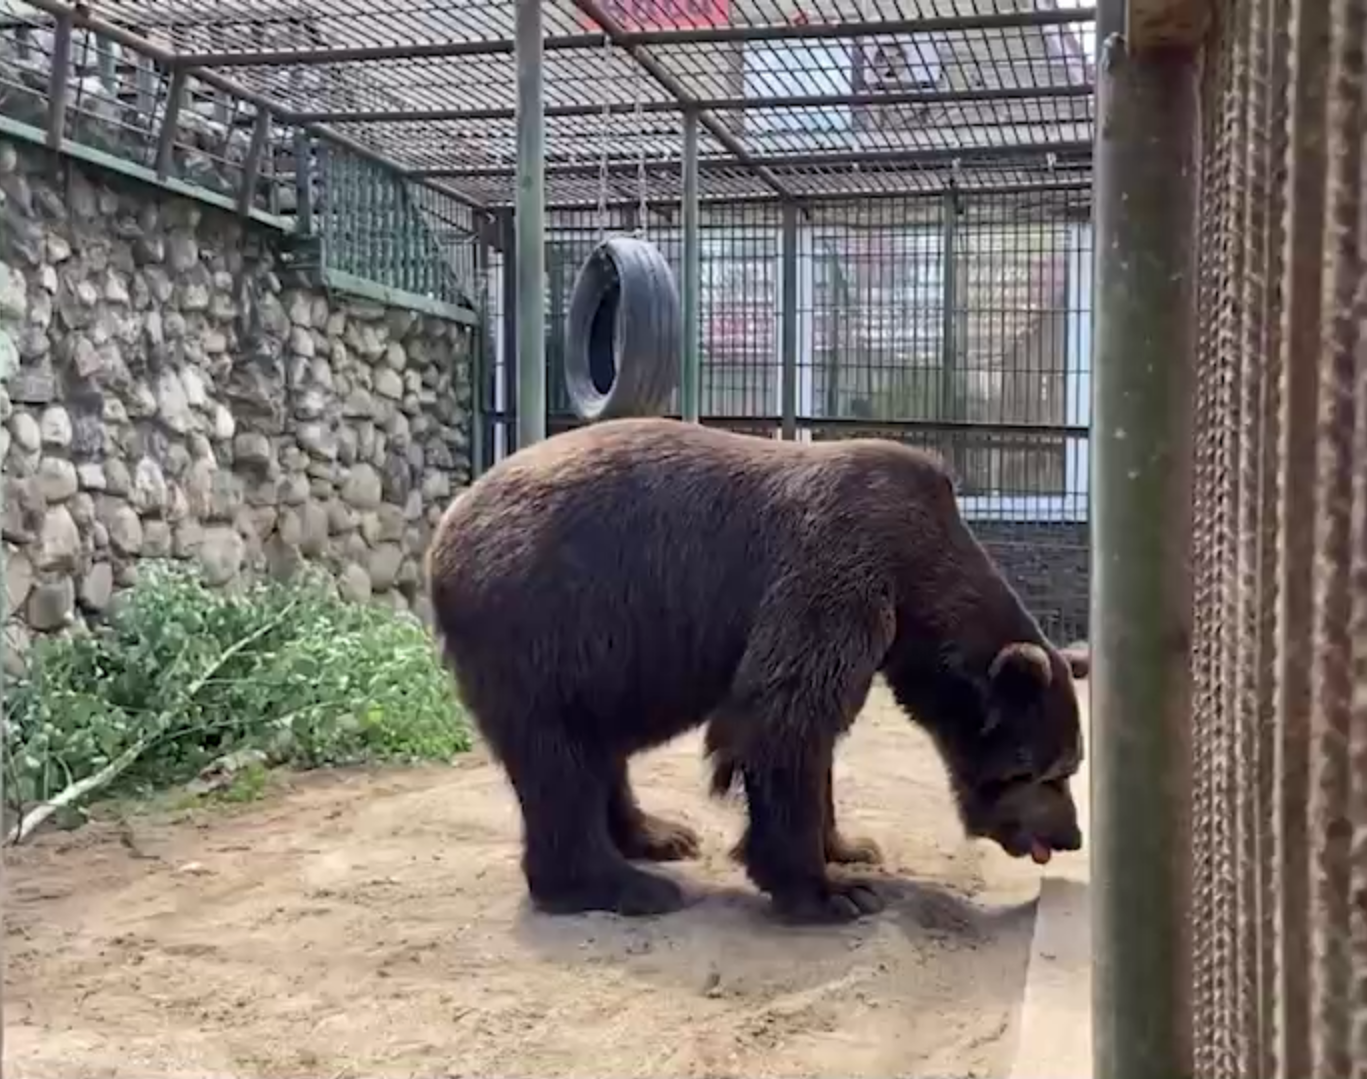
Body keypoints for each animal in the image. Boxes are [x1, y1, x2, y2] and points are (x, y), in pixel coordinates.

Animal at [426, 415, 1088, 924]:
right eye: (1050, 771)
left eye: (1068, 766)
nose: (1071, 836)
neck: (917, 584)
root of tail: (446, 531)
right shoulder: (839, 571)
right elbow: (782, 719)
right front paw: (833, 892)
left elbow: (814, 733)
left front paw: (851, 847)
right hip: (546, 622)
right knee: (559, 757)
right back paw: (618, 885)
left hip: (603, 654)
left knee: (593, 746)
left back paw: (658, 834)